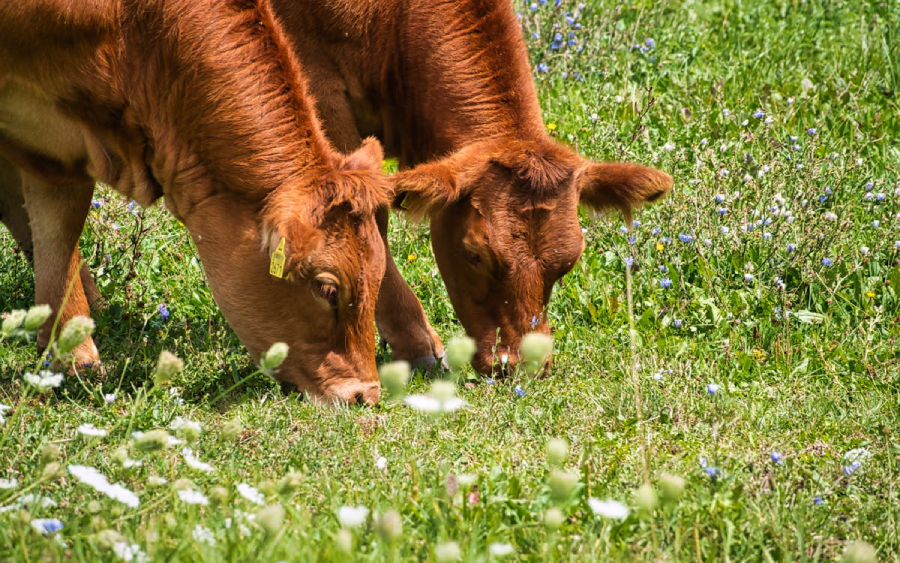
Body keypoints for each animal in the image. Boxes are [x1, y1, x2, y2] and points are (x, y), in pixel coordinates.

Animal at [0, 0, 393, 405]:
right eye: (326, 288)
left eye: (379, 278)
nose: (366, 394)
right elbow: (61, 229)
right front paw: (77, 352)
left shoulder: (51, 147)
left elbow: (55, 228)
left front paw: (66, 351)